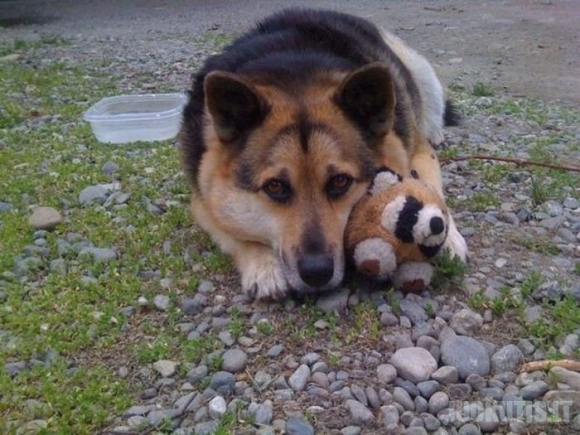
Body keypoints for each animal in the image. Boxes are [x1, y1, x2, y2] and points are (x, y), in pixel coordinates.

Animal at [179, 8, 468, 302]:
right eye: (275, 187)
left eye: (340, 182)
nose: (316, 273)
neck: (293, 76)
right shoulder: (203, 198)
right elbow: (234, 232)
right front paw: (263, 265)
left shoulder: (419, 152)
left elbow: (430, 187)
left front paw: (448, 238)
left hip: (420, 72)